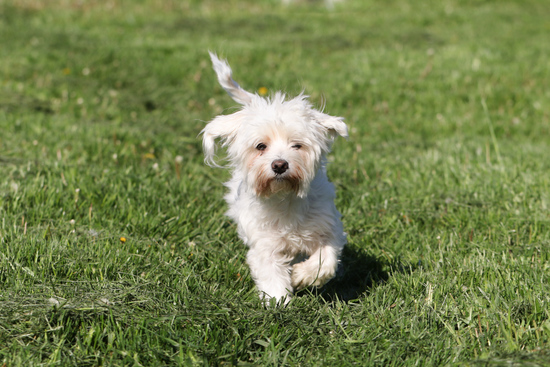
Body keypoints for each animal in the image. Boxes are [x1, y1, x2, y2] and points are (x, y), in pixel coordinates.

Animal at [203, 52, 350, 304]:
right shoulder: (265, 242)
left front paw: (301, 276)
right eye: (261, 146)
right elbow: (270, 272)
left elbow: (326, 261)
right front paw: (278, 302)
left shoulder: (328, 228)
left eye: (297, 145)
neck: (285, 198)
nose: (280, 165)